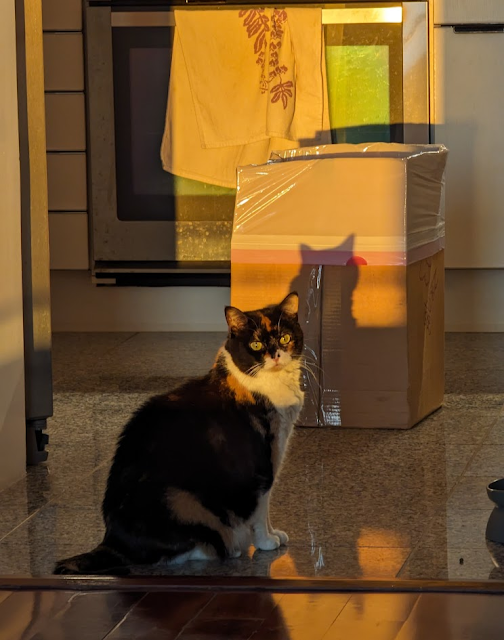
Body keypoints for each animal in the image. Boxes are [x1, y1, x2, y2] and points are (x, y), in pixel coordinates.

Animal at [53, 292, 304, 575]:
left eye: (285, 338)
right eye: (256, 344)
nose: (275, 355)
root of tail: (111, 541)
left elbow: (267, 508)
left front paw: (275, 534)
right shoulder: (262, 465)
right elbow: (261, 508)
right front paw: (266, 542)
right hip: (181, 501)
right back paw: (232, 547)